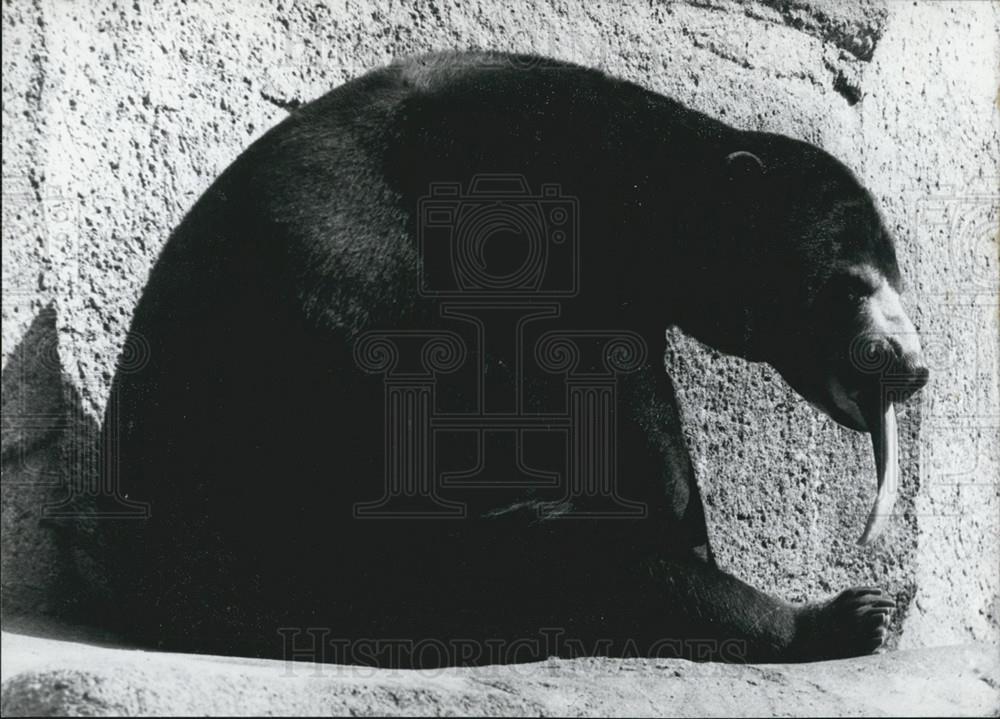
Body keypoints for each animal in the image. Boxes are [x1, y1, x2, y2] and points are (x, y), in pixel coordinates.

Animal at [92, 51, 929, 666]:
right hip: (348, 553)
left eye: (896, 275)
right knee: (586, 563)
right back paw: (848, 616)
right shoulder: (512, 254)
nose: (911, 367)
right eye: (851, 284)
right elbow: (613, 416)